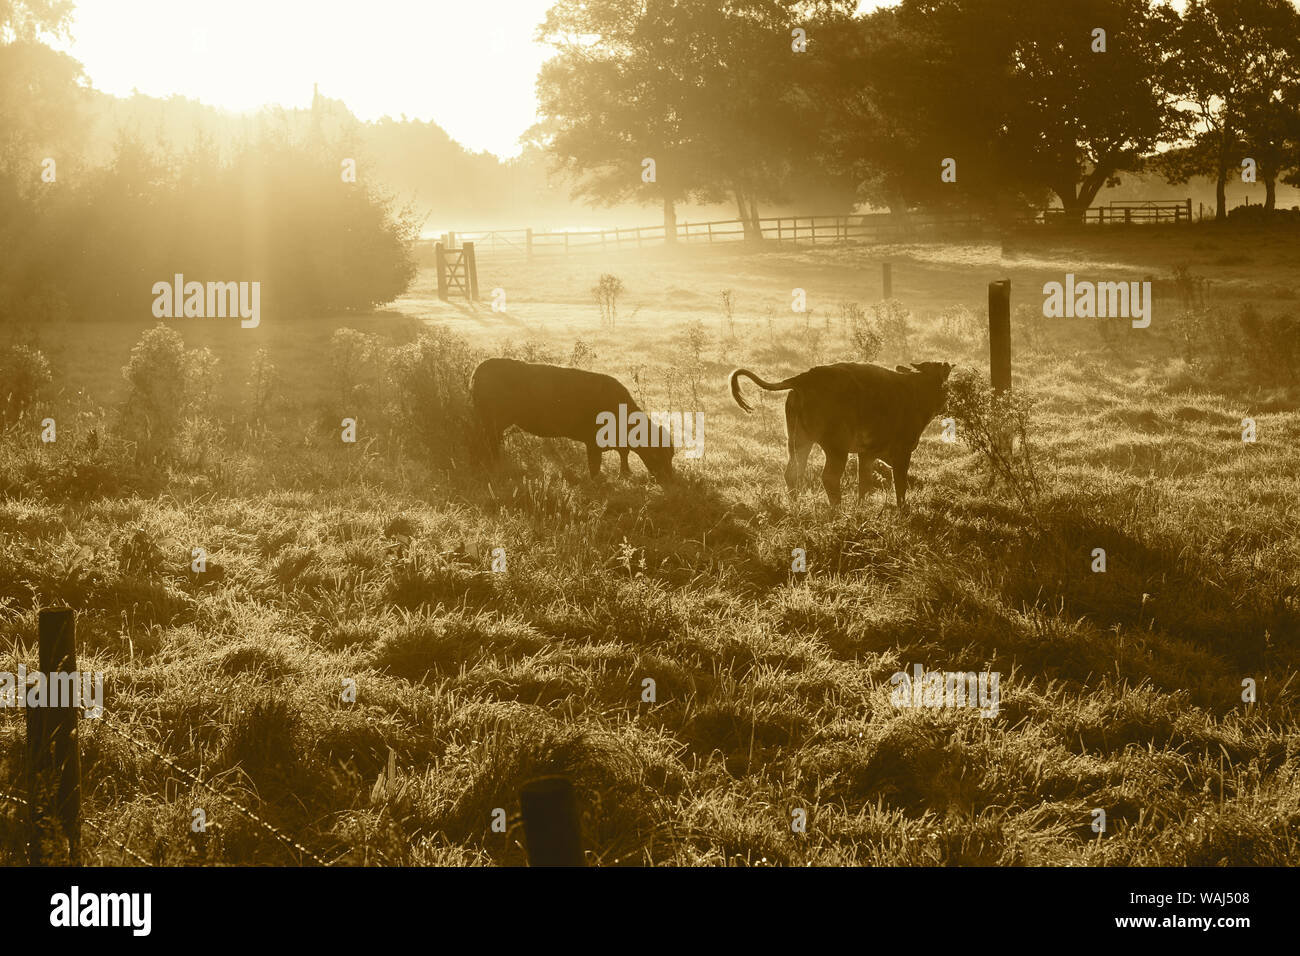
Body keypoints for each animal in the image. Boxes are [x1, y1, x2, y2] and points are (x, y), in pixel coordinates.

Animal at [470, 358, 675, 482]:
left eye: (671, 454)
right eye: (658, 454)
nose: (670, 478)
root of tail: (482, 367)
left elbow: (623, 456)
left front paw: (624, 474)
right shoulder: (593, 444)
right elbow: (595, 465)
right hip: (492, 422)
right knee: (489, 443)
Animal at [729, 361, 952, 507]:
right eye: (944, 384)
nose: (944, 404)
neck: (915, 391)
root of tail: (804, 378)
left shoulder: (867, 453)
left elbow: (864, 483)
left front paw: (861, 509)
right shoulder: (902, 452)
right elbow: (900, 484)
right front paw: (902, 510)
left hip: (798, 441)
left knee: (793, 472)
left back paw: (796, 506)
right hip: (836, 448)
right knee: (829, 477)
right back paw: (837, 510)